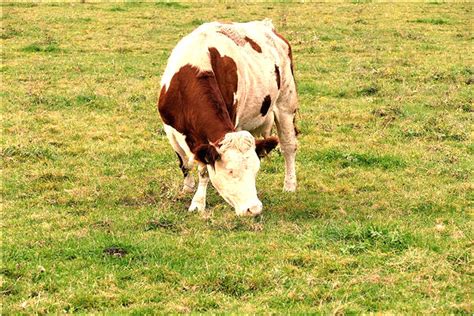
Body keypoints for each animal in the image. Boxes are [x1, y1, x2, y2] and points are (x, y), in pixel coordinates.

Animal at [160, 19, 300, 216]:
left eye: (255, 171)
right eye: (230, 171)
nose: (254, 209)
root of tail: (267, 26)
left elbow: (204, 169)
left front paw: (198, 202)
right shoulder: (171, 130)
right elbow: (184, 162)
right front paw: (188, 188)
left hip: (286, 104)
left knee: (288, 146)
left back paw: (289, 185)